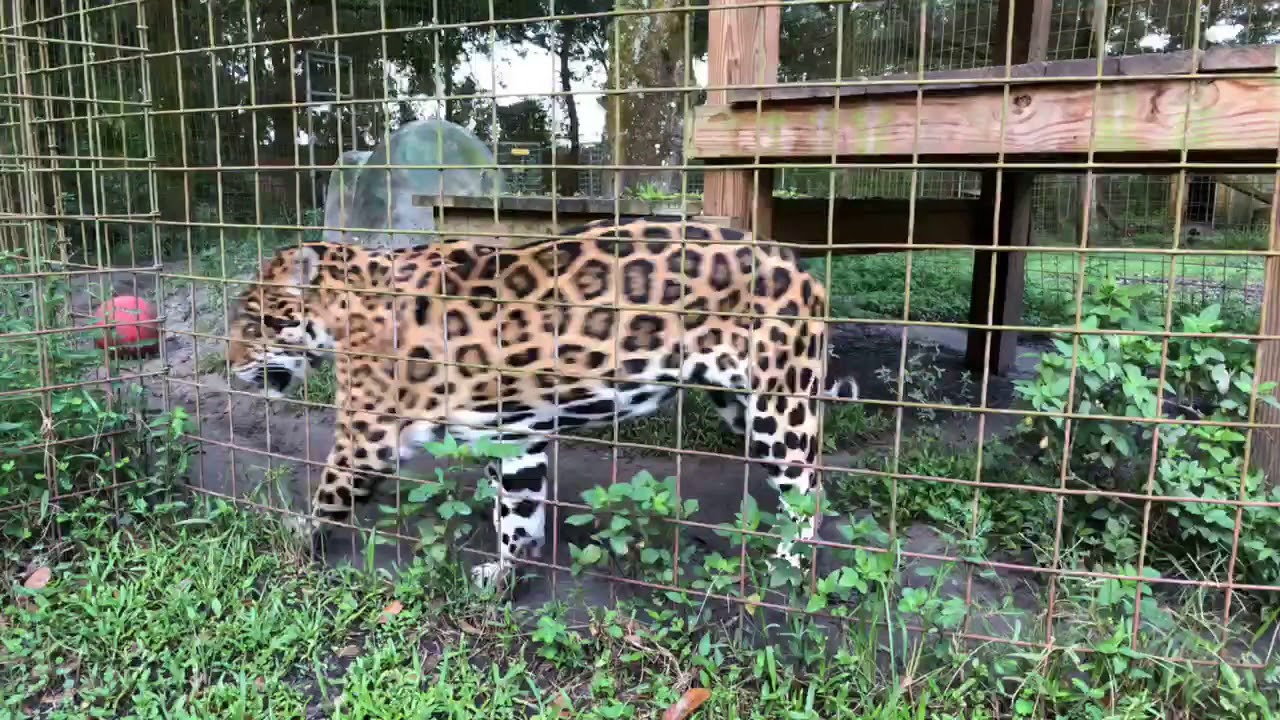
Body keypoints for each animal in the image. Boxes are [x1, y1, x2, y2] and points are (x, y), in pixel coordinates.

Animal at [225, 217, 860, 591]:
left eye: (255, 322)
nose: (230, 366)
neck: (344, 304)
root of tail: (797, 263)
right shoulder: (513, 435)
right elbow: (518, 508)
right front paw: (509, 572)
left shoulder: (368, 436)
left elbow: (328, 494)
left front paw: (292, 539)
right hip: (735, 400)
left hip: (779, 404)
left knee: (808, 488)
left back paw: (789, 567)